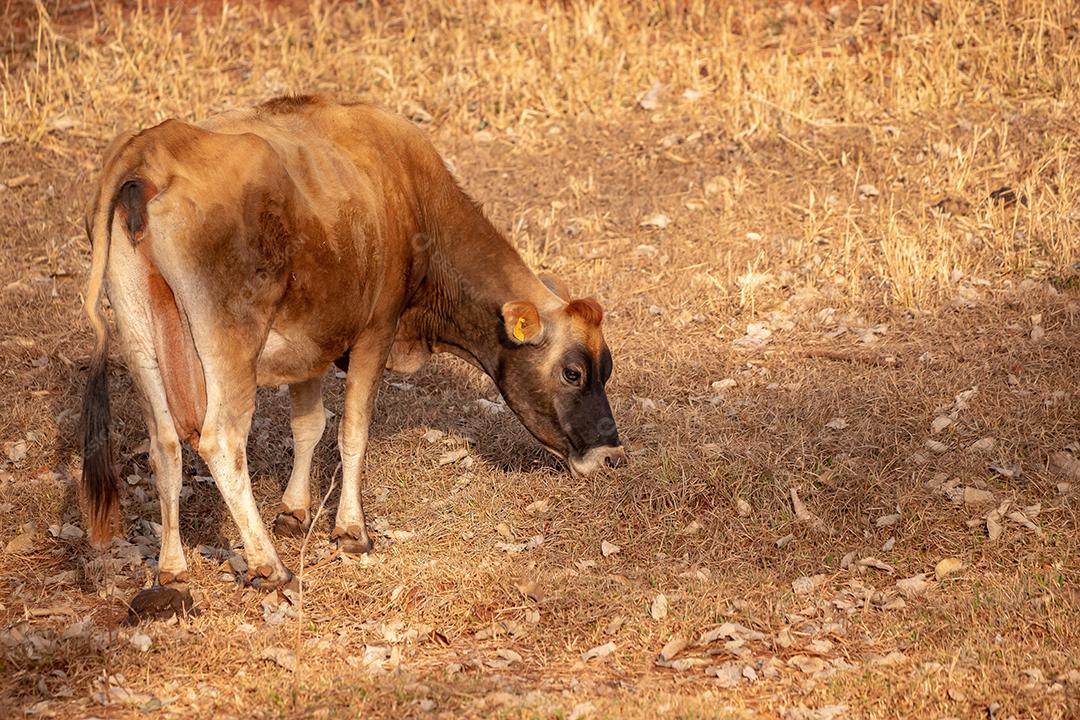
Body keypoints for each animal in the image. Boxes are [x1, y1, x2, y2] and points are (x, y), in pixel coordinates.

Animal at [79, 91, 630, 608]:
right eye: (573, 373)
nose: (611, 453)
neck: (410, 195)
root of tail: (154, 145)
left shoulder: (311, 340)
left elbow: (308, 425)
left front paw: (295, 509)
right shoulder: (375, 331)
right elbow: (352, 429)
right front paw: (350, 530)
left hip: (139, 335)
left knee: (165, 444)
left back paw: (172, 567)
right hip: (230, 340)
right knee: (220, 441)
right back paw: (269, 566)